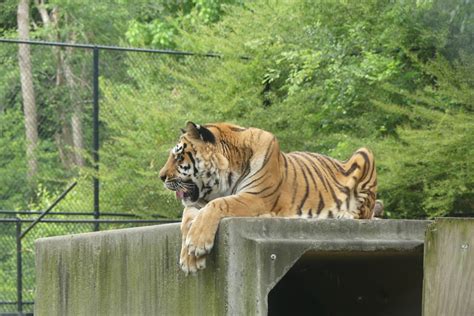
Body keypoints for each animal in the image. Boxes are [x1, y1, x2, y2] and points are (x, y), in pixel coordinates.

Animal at [159, 121, 382, 274]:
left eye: (178, 156)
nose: (161, 176)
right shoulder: (198, 203)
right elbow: (188, 216)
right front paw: (188, 257)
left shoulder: (256, 197)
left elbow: (218, 204)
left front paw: (196, 245)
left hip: (365, 153)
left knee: (365, 213)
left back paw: (345, 215)